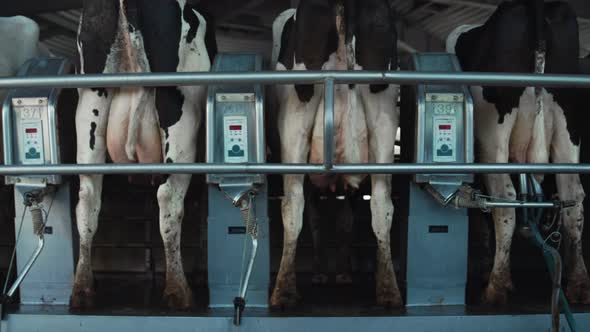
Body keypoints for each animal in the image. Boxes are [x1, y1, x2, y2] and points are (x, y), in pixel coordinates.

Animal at [70, 0, 217, 308]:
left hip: (89, 105)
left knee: (88, 199)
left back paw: (82, 288)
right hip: (180, 113)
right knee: (169, 199)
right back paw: (178, 290)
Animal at [272, 0, 402, 308]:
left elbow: (320, 222)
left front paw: (327, 273)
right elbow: (344, 221)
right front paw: (340, 273)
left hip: (294, 117)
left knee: (292, 204)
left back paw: (283, 291)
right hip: (383, 115)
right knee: (382, 204)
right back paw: (388, 290)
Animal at [446, 0, 588, 304]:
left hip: (493, 131)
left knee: (504, 197)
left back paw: (497, 286)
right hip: (568, 123)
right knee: (573, 198)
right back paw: (580, 284)